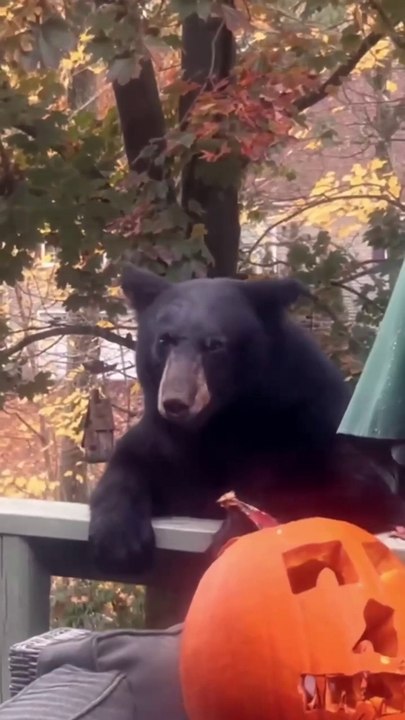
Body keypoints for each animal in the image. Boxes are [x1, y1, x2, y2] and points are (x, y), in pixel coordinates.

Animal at [89, 264, 405, 574]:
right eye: (164, 340)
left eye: (215, 345)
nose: (175, 402)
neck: (220, 422)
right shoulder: (165, 441)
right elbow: (129, 462)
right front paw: (119, 538)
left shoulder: (308, 425)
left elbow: (343, 488)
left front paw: (234, 530)